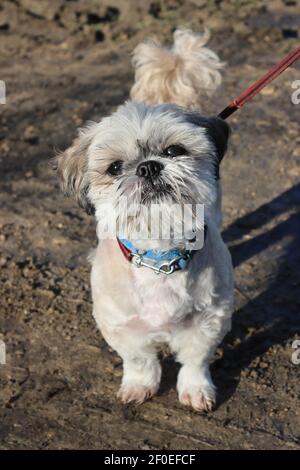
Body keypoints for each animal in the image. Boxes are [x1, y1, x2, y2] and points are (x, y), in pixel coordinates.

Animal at [56, 29, 234, 412]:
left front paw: (196, 389)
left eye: (174, 151)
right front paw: (140, 386)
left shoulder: (208, 320)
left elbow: (195, 361)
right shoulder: (121, 325)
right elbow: (140, 360)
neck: (160, 257)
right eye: (115, 167)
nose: (148, 166)